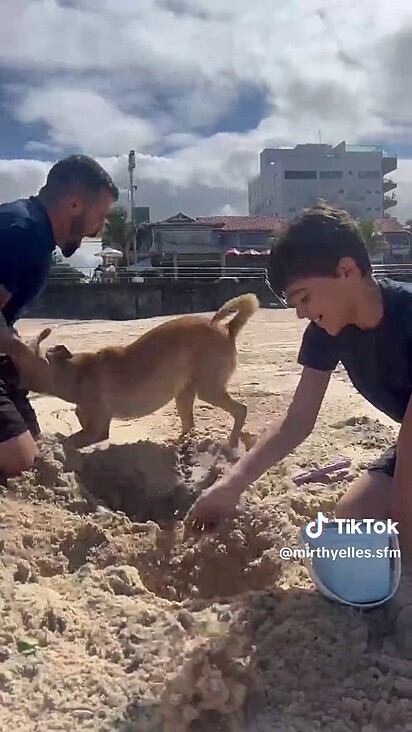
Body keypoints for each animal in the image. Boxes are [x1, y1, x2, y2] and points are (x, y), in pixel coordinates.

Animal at [8, 294, 260, 448]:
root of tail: (228, 329)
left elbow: (70, 441)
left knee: (240, 410)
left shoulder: (97, 430)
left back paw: (231, 443)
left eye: (16, 357)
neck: (75, 373)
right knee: (190, 425)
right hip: (184, 394)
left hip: (209, 390)